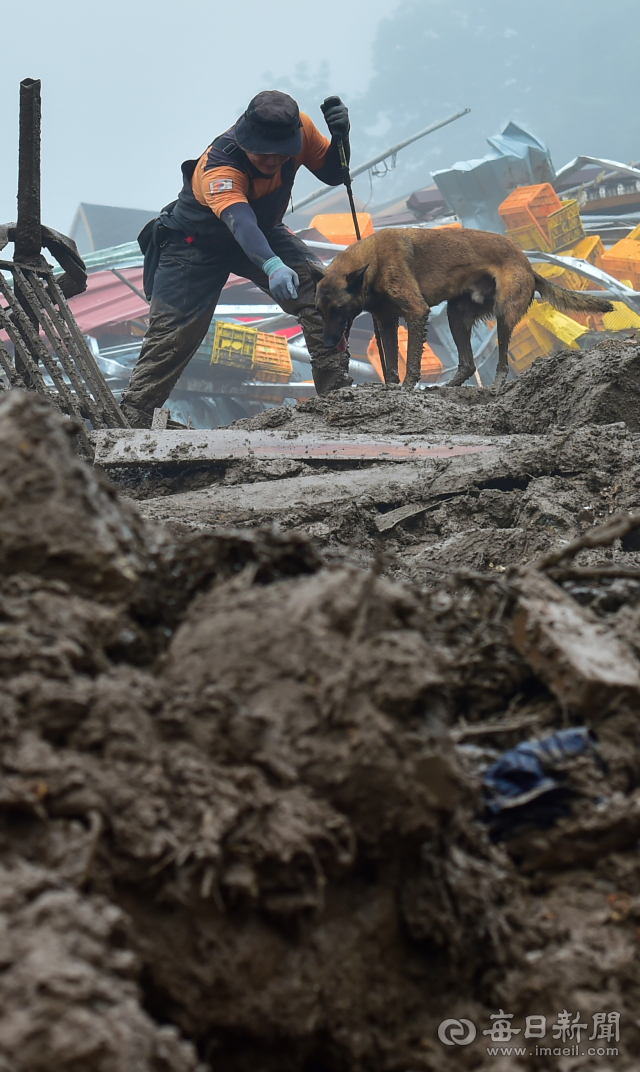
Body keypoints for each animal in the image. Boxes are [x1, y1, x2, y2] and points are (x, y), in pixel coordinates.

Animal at [308, 226, 613, 390]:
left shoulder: (416, 312)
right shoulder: (386, 321)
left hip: (503, 313)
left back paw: (497, 383)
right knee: (468, 364)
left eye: (338, 309)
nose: (328, 343)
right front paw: (391, 387)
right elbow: (391, 362)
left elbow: (412, 360)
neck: (371, 263)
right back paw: (447, 386)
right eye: (320, 311)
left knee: (502, 360)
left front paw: (407, 387)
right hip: (456, 316)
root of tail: (527, 264)